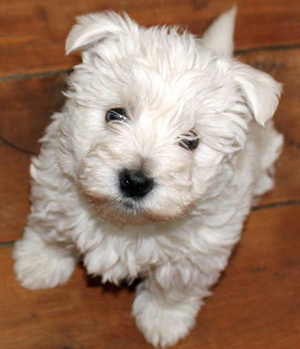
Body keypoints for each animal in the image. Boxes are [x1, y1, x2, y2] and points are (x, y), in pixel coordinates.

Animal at [12, 6, 284, 346]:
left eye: (191, 140)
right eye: (114, 114)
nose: (135, 181)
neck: (128, 225)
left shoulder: (195, 255)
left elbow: (173, 290)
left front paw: (164, 322)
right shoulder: (56, 191)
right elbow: (51, 231)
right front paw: (38, 264)